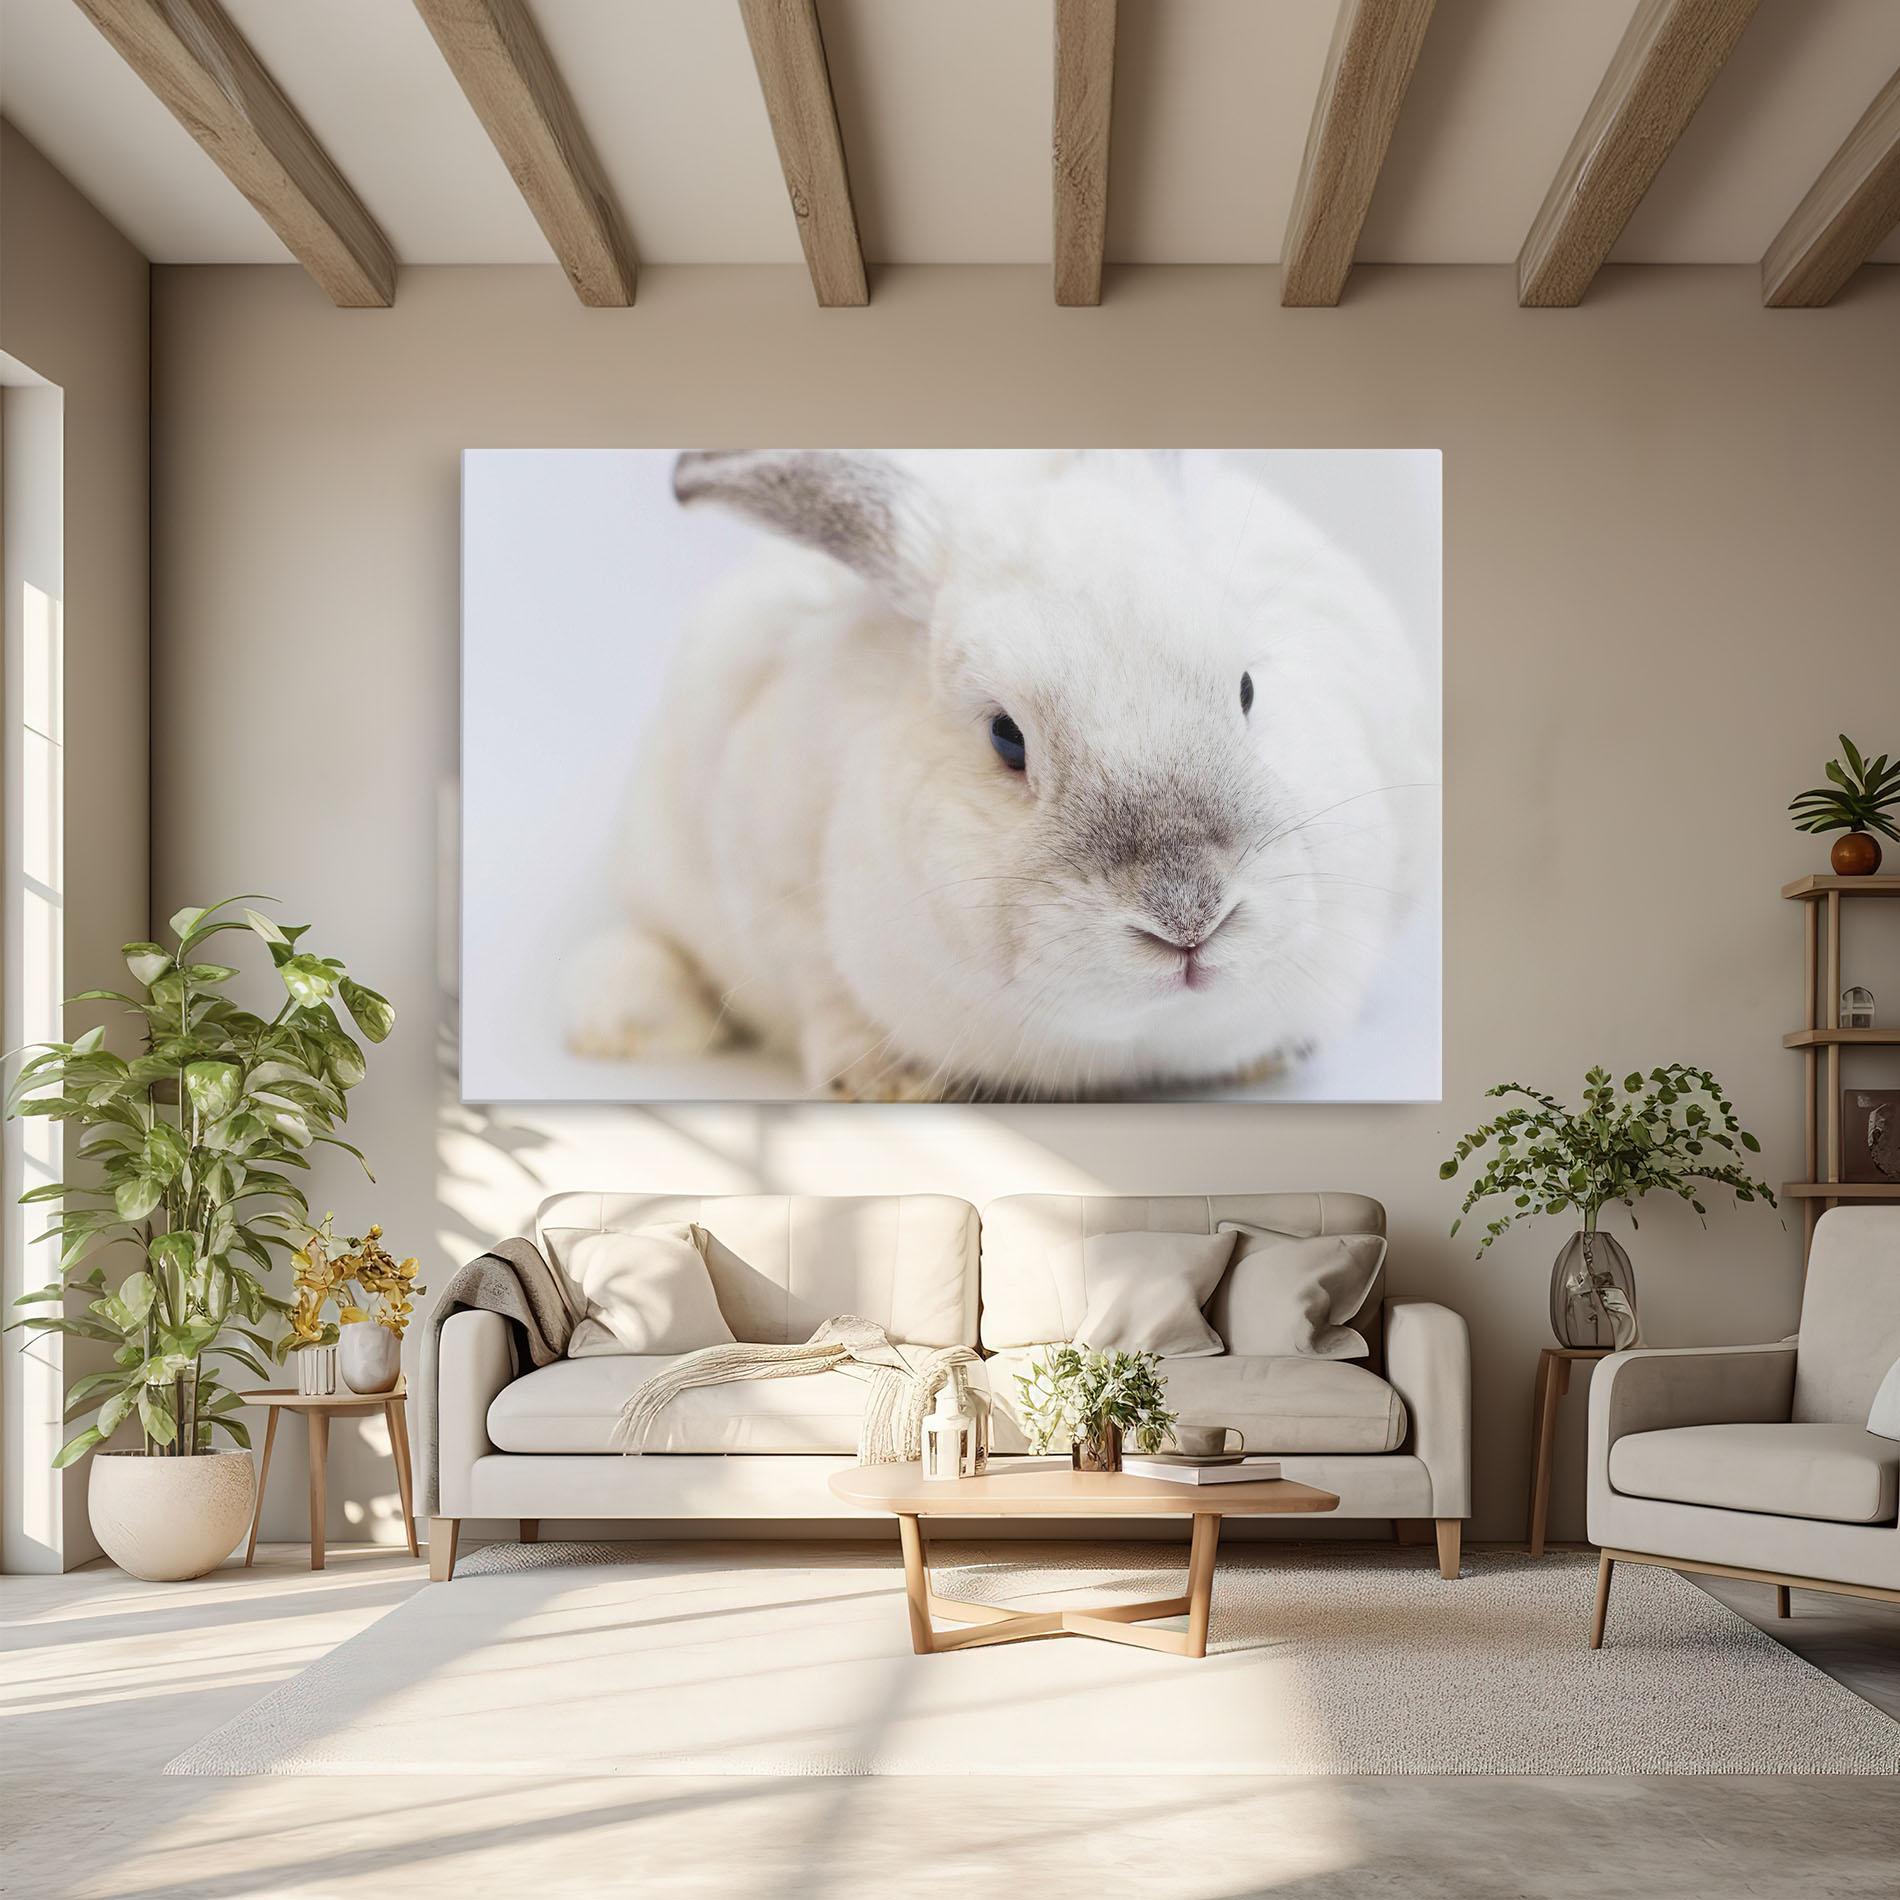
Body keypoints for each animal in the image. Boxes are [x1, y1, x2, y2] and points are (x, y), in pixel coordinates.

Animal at [565, 449, 1434, 1101]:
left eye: (1248, 688)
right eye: (1006, 738)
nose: (1188, 918)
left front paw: (1270, 1056)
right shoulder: (774, 891)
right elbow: (823, 992)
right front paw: (886, 1080)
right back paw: (618, 1024)